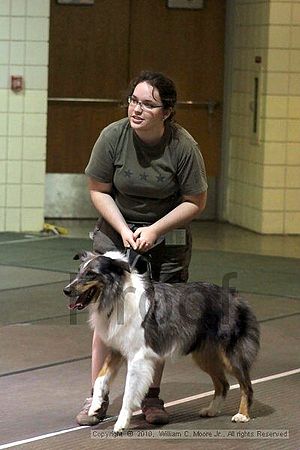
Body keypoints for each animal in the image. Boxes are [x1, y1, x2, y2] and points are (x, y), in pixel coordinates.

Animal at [63, 250, 260, 432]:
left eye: (91, 274)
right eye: (79, 271)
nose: (66, 290)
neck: (117, 297)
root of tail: (236, 296)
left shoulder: (137, 358)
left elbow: (128, 393)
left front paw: (121, 423)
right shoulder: (117, 350)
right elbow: (100, 378)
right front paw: (95, 406)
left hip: (231, 354)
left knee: (246, 386)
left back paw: (242, 415)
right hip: (204, 356)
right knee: (223, 384)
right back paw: (211, 410)